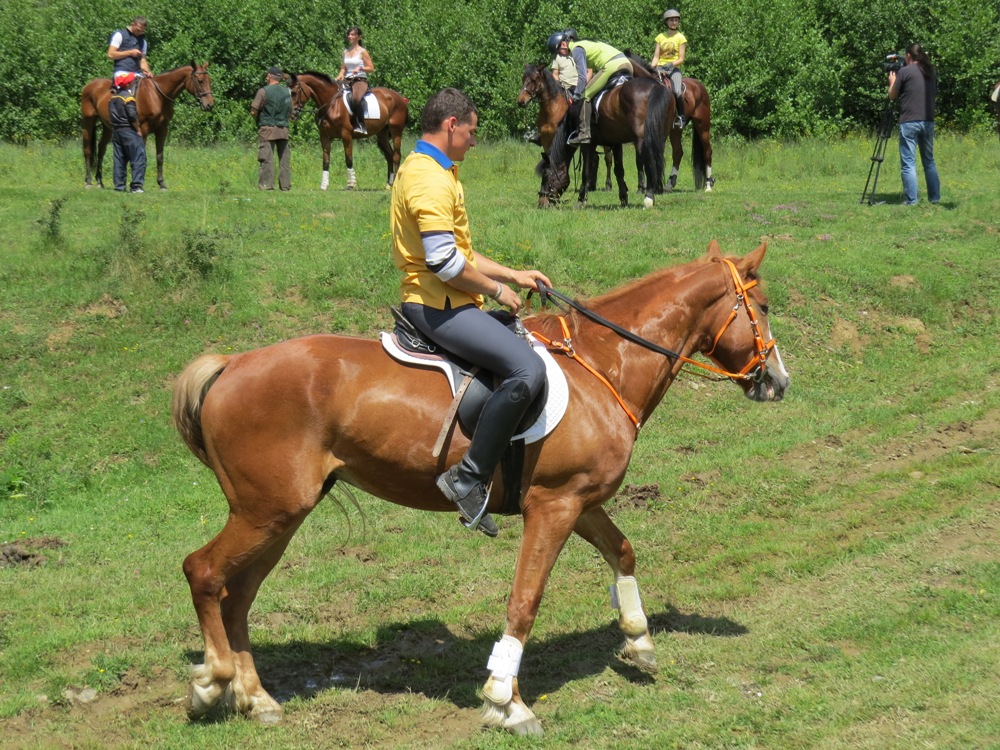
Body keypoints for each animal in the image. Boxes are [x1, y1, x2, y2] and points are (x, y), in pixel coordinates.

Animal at [80, 62, 215, 189]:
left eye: (209, 80)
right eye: (200, 80)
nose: (210, 104)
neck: (157, 96)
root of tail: (90, 85)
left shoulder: (162, 130)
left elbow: (159, 156)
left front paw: (161, 183)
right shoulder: (143, 130)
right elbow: (141, 155)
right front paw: (136, 184)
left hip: (108, 127)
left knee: (101, 149)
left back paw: (99, 181)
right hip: (88, 122)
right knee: (87, 150)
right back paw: (88, 181)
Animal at [172, 242, 788, 740]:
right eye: (760, 307)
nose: (779, 382)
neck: (602, 366)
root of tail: (232, 364)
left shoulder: (580, 501)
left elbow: (623, 552)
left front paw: (639, 640)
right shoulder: (554, 506)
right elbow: (525, 600)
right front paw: (506, 703)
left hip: (279, 515)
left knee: (238, 594)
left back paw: (256, 699)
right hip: (267, 511)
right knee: (203, 572)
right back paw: (212, 683)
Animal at [620, 53, 716, 192]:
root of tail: (700, 85)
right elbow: (641, 157)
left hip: (702, 125)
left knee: (707, 151)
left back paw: (708, 185)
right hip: (675, 130)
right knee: (678, 152)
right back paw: (670, 184)